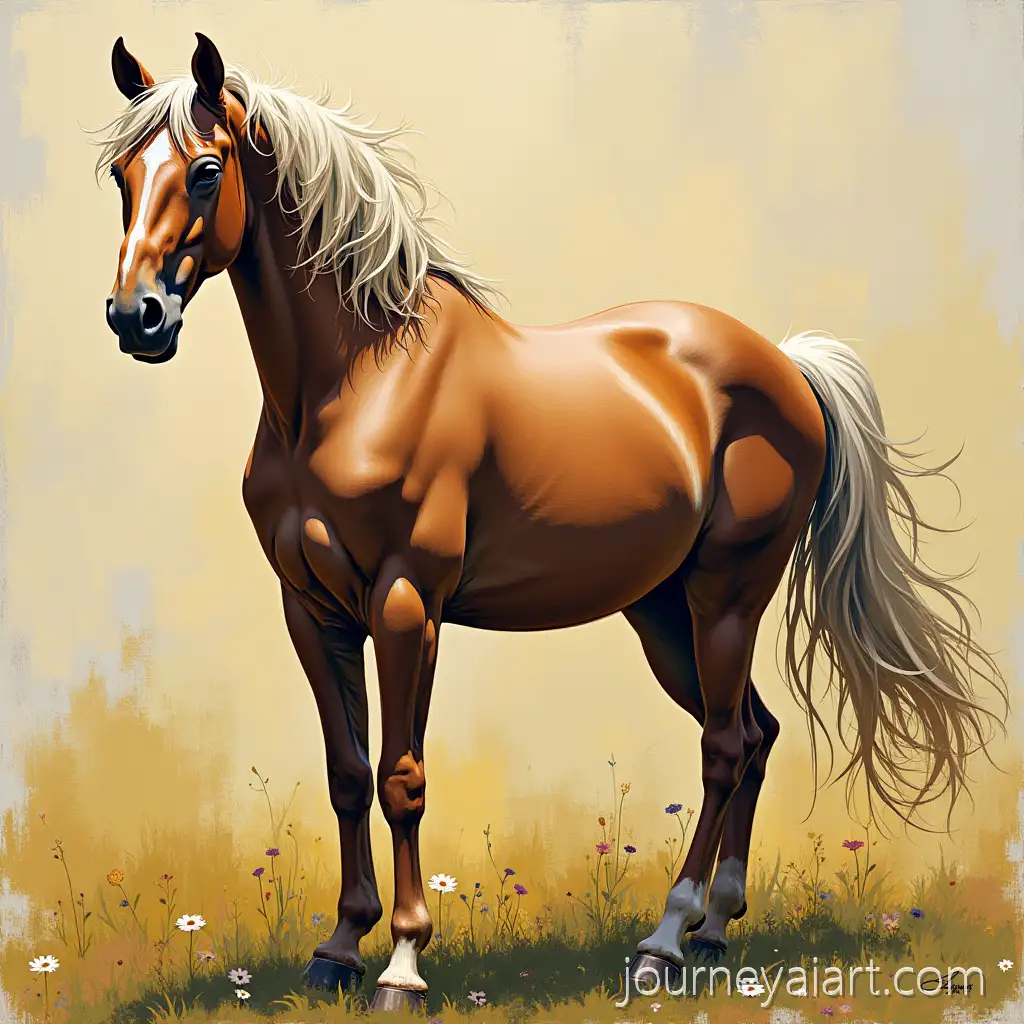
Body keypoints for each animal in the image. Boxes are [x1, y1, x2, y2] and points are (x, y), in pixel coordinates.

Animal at [95, 33, 1006, 1010]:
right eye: (120, 173)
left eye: (205, 171)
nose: (136, 316)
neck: (358, 379)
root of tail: (786, 364)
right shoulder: (312, 611)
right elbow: (346, 774)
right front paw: (338, 948)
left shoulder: (406, 606)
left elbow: (401, 778)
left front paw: (403, 964)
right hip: (662, 613)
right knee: (755, 735)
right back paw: (715, 929)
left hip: (727, 596)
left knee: (724, 747)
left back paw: (664, 943)